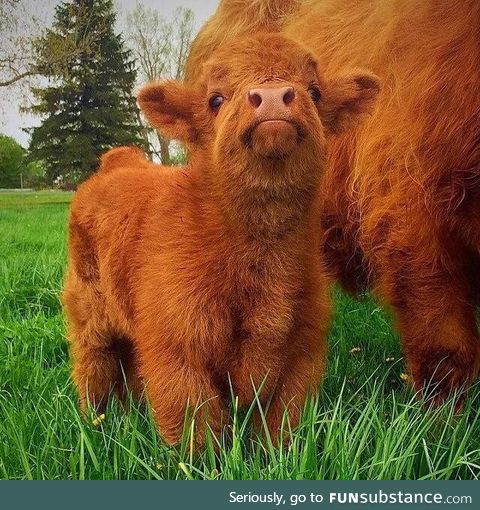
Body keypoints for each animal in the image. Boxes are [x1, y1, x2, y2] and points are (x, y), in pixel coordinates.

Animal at [62, 32, 378, 446]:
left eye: (315, 91)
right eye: (215, 99)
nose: (273, 96)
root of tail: (119, 162)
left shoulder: (301, 355)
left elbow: (279, 427)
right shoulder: (176, 351)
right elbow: (198, 430)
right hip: (89, 311)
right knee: (93, 365)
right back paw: (94, 422)